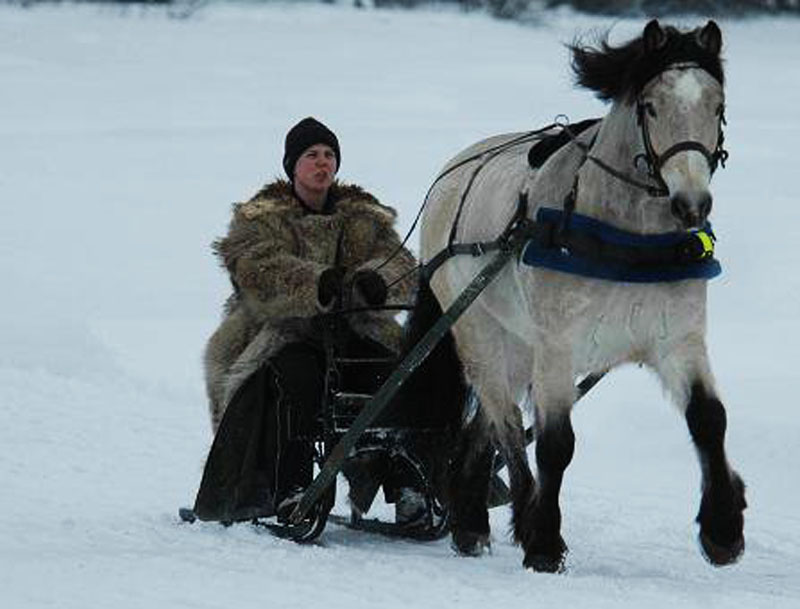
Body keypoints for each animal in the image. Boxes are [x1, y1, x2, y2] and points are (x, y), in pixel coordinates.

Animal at [422, 19, 748, 568]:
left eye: (718, 105)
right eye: (651, 106)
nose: (691, 205)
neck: (626, 239)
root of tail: (452, 172)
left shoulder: (678, 340)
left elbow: (709, 419)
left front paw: (723, 526)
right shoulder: (558, 348)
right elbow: (556, 445)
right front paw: (544, 541)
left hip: (518, 346)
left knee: (482, 427)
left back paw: (470, 521)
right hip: (482, 337)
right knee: (506, 424)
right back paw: (516, 516)